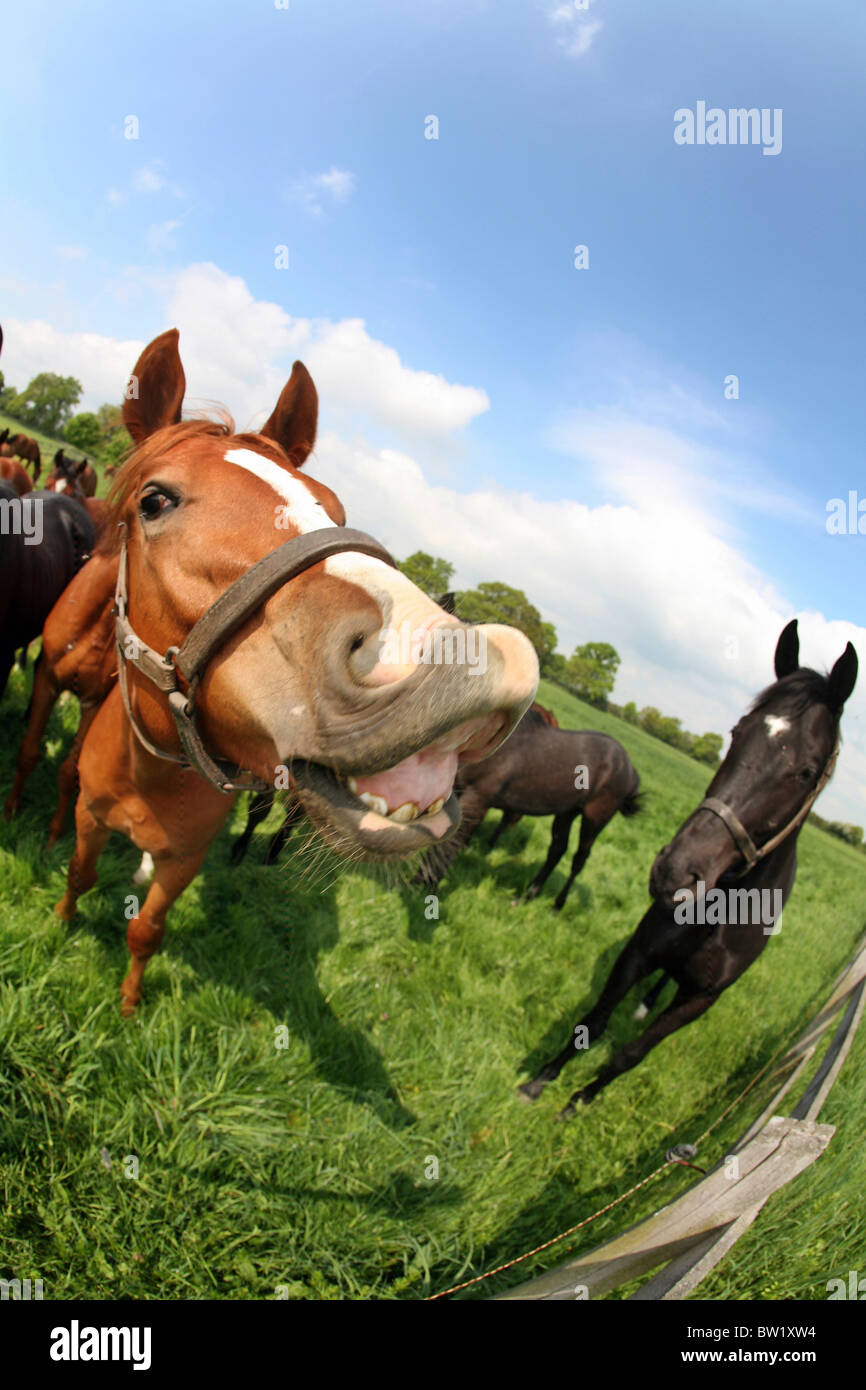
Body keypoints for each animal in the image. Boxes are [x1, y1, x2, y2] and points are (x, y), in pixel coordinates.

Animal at [55, 330, 536, 1017]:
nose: (464, 661)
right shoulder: (89, 817)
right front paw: (63, 926)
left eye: (334, 507)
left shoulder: (185, 860)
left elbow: (146, 928)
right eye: (154, 500)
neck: (149, 774)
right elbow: (80, 873)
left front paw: (127, 1004)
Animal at [419, 706, 644, 911]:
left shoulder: (476, 799)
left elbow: (447, 846)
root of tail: (630, 768)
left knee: (579, 859)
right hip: (567, 813)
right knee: (557, 850)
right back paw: (526, 897)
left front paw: (426, 890)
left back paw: (557, 905)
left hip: (594, 819)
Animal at [517, 625, 856, 1112]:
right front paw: (541, 1080)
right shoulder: (638, 951)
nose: (675, 873)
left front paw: (581, 1099)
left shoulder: (700, 1000)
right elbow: (595, 1020)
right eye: (736, 733)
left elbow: (631, 1054)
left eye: (807, 771)